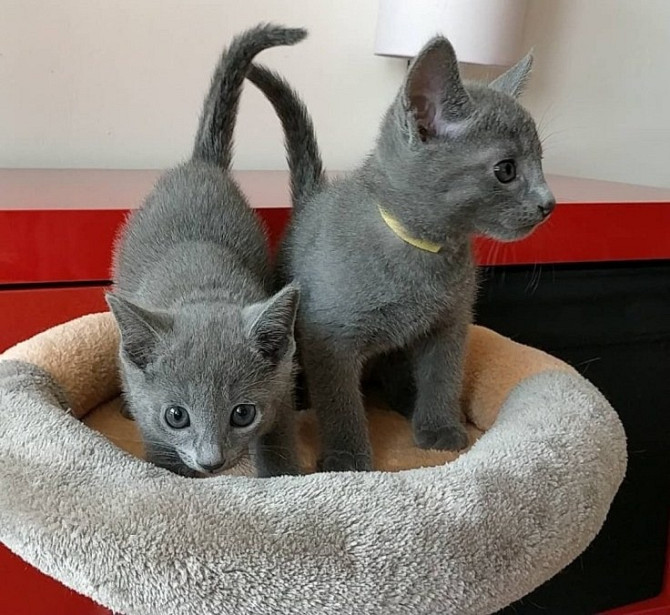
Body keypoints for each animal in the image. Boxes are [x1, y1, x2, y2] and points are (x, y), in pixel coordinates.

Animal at [107, 25, 308, 482]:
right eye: (176, 416)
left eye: (242, 413)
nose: (211, 461)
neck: (203, 294)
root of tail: (202, 164)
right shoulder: (152, 420)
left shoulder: (282, 383)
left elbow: (280, 434)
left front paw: (283, 476)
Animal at [247, 35, 556, 472]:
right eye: (507, 170)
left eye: (541, 162)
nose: (549, 204)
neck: (424, 253)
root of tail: (312, 200)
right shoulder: (329, 338)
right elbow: (340, 400)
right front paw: (347, 455)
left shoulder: (450, 324)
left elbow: (443, 376)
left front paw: (440, 429)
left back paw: (407, 400)